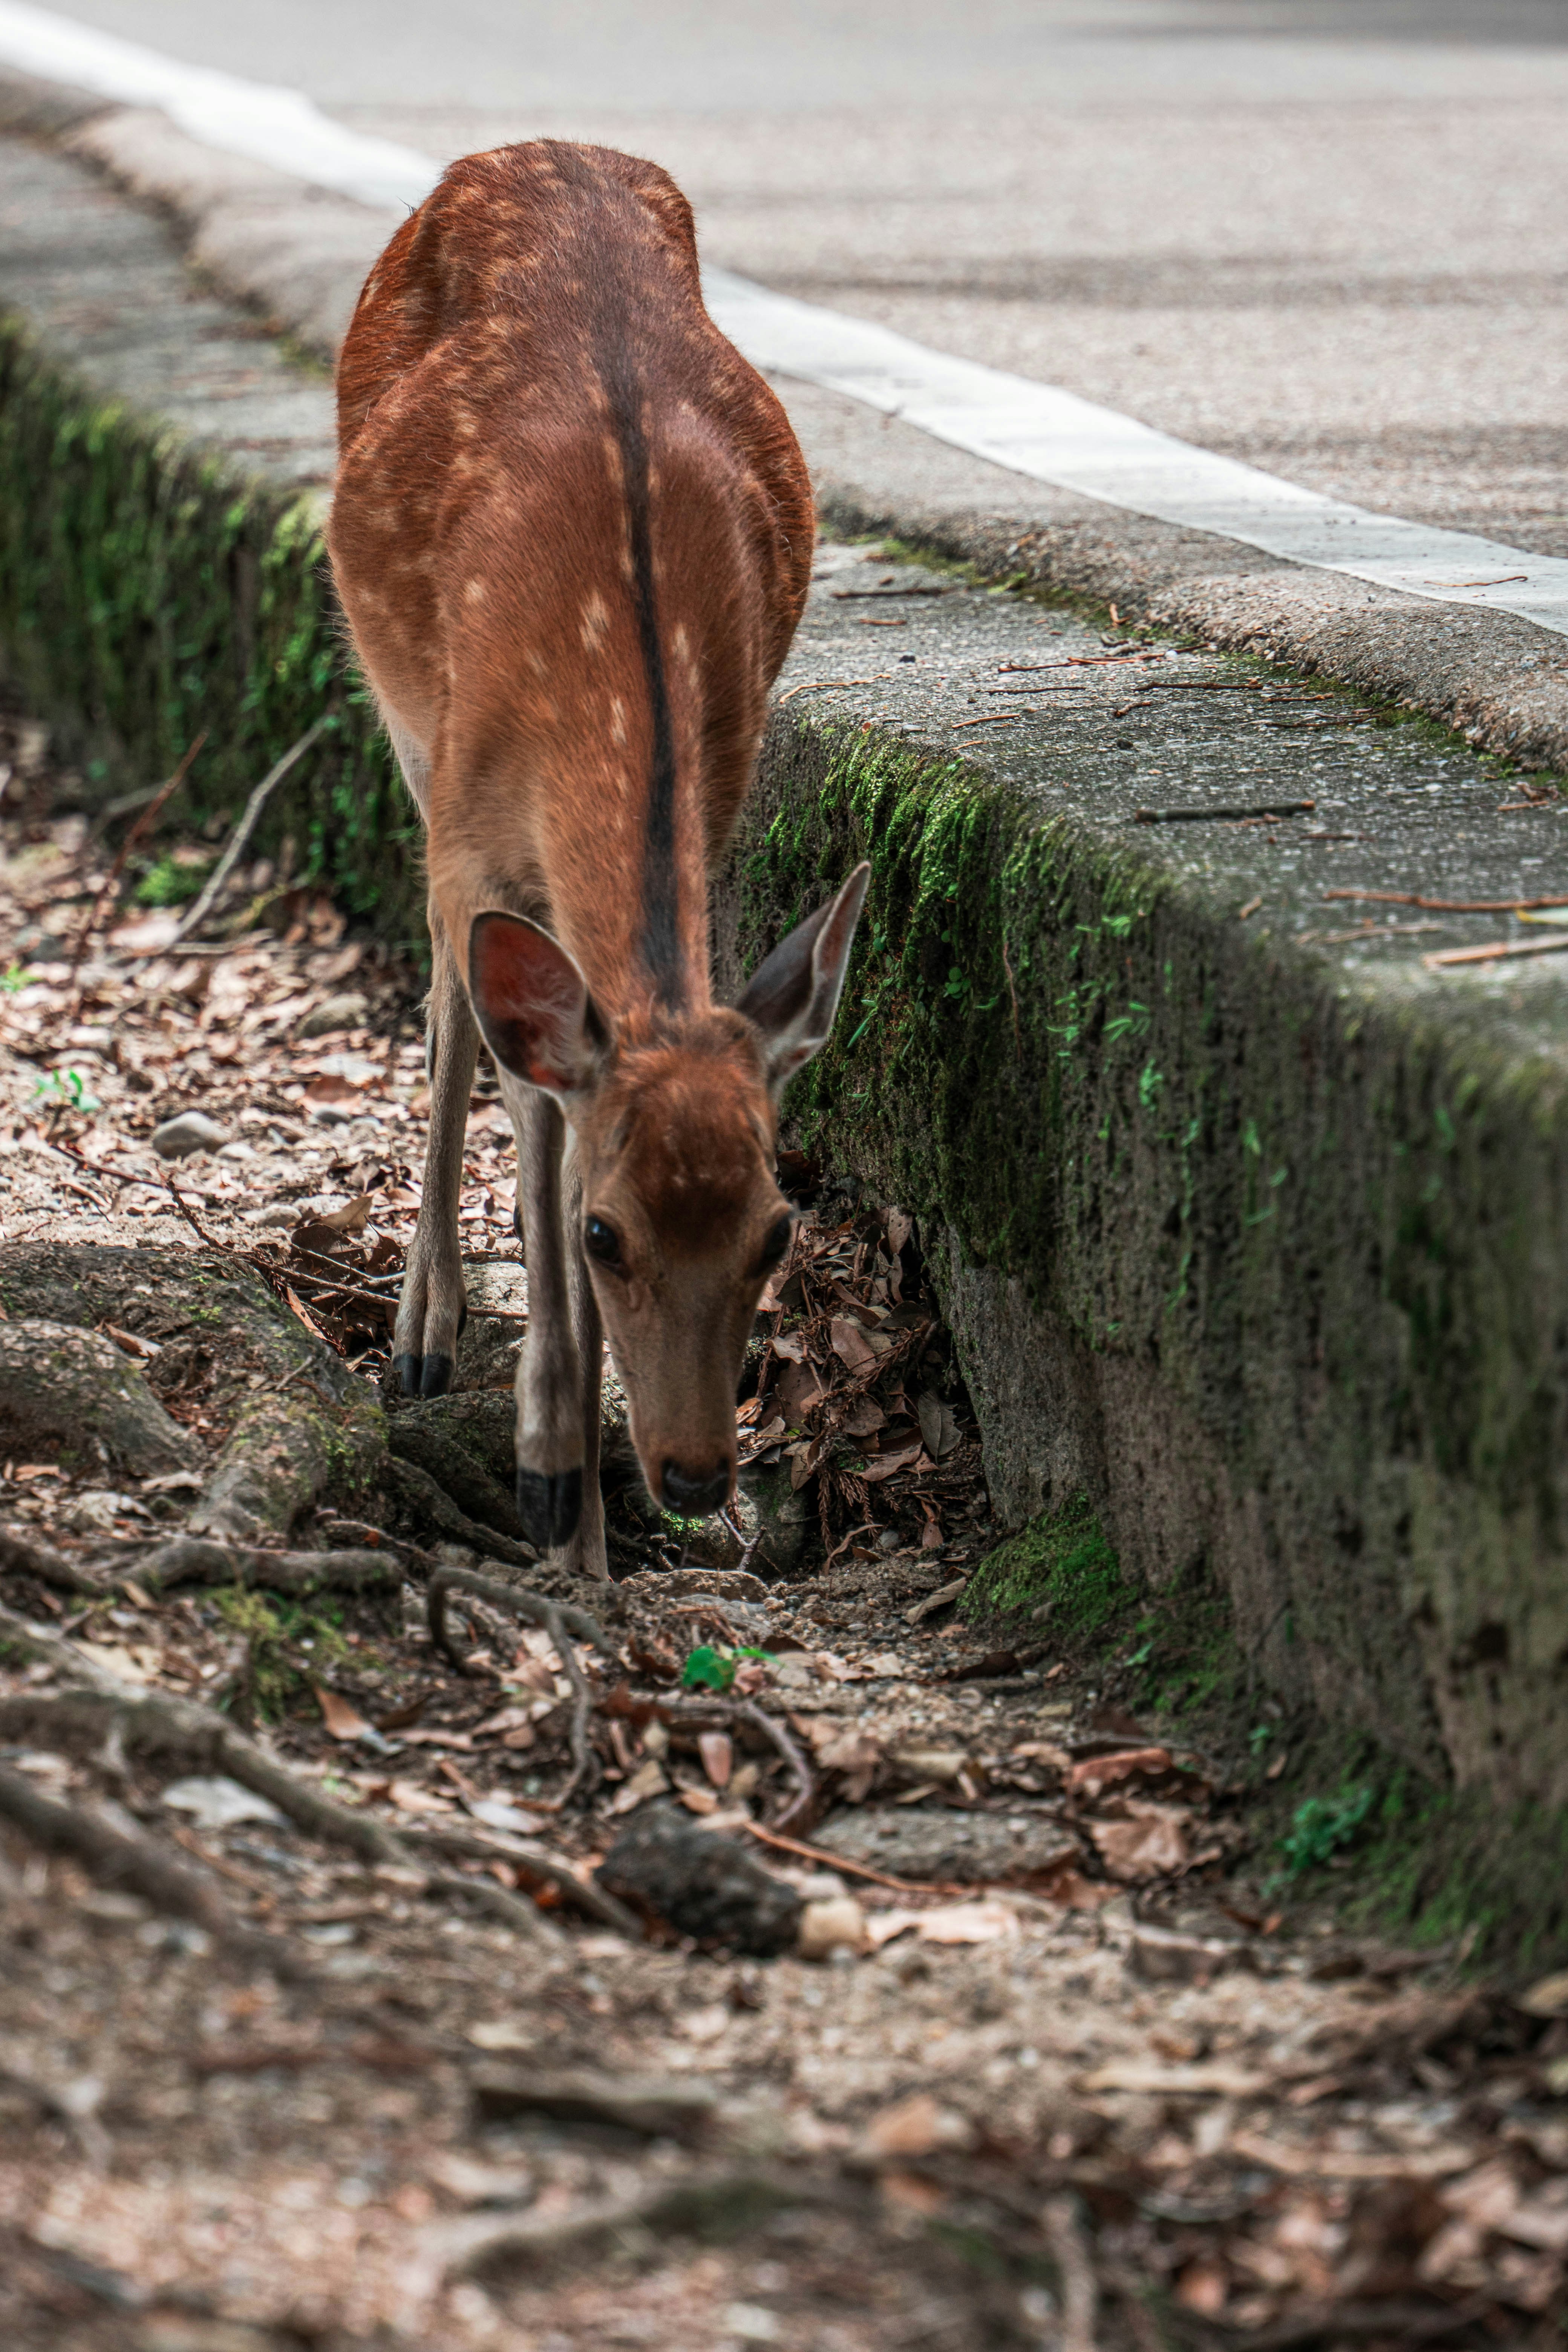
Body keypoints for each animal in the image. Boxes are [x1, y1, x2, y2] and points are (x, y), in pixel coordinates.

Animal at [327, 140, 869, 1581]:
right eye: (606, 1235)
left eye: (778, 1230)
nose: (693, 1473)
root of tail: (539, 150)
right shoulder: (468, 823)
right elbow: (532, 1113)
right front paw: (555, 1490)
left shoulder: (726, 801)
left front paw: (596, 1501)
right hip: (405, 725)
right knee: (450, 1014)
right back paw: (423, 1334)